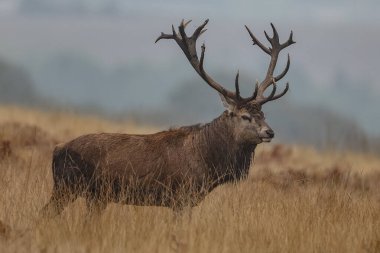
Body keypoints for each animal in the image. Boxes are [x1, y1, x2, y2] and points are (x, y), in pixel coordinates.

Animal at [42, 19, 296, 217]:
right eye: (245, 116)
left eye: (263, 114)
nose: (269, 132)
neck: (208, 161)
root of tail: (57, 150)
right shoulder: (181, 197)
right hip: (67, 186)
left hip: (96, 196)